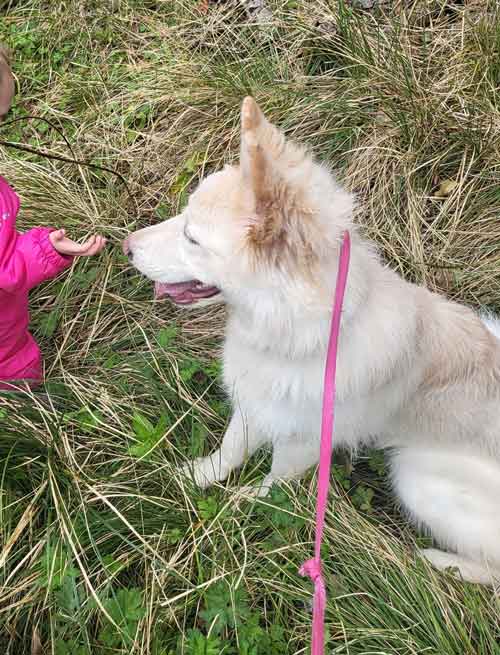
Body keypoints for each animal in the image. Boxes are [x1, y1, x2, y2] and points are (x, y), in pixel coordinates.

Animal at [125, 96, 500, 584]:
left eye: (192, 237)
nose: (126, 245)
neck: (300, 339)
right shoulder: (255, 403)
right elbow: (229, 452)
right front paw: (196, 477)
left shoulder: (300, 443)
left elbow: (271, 484)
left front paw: (240, 505)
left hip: (416, 475)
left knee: (492, 568)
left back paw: (440, 563)